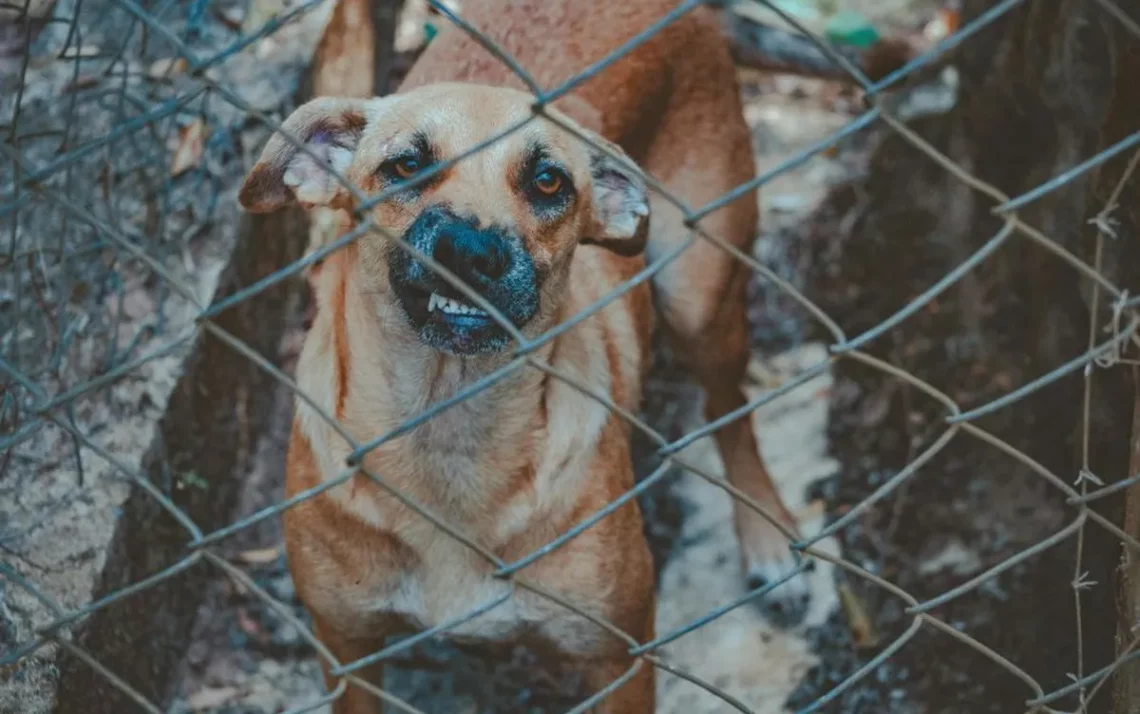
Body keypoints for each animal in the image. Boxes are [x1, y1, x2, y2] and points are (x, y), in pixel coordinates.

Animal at [235, 2, 902, 707]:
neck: (449, 431)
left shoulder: (619, 658)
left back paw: (767, 537)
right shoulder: (347, 650)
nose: (471, 251)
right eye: (406, 165)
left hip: (700, 294)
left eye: (549, 181)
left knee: (732, 412)